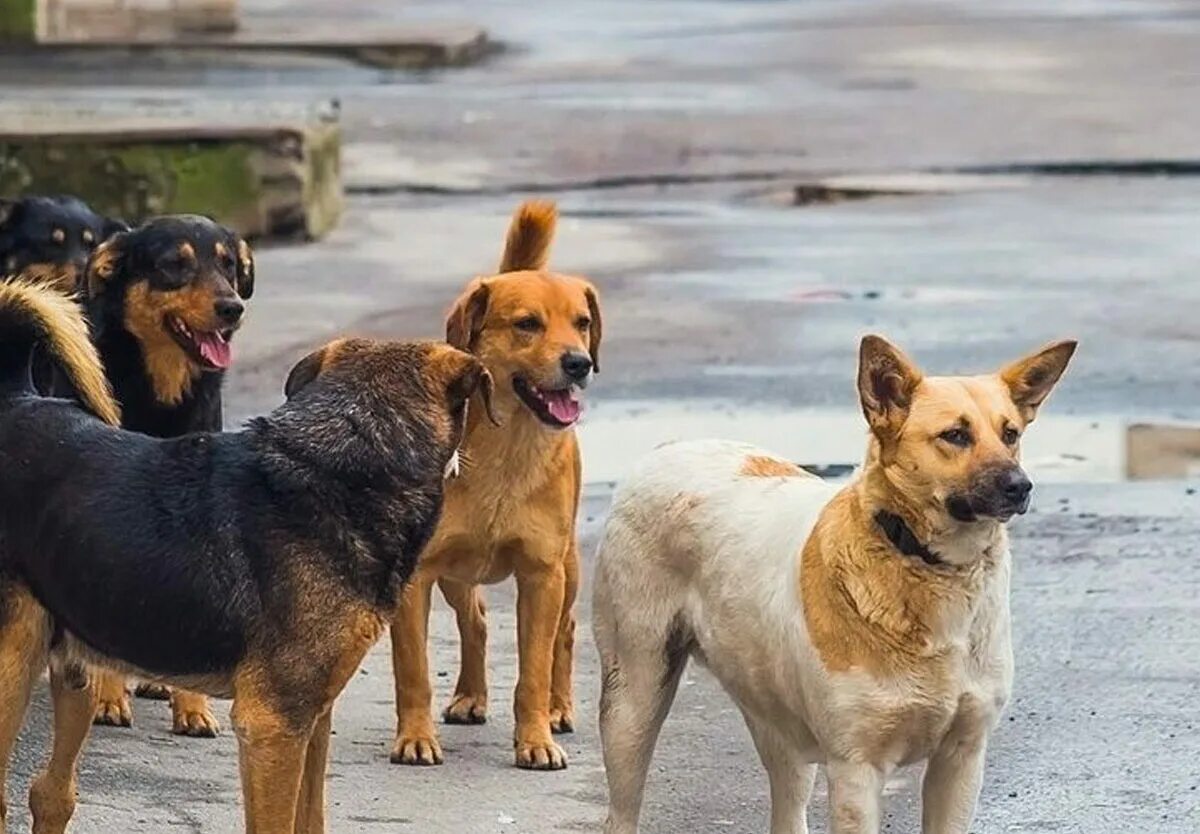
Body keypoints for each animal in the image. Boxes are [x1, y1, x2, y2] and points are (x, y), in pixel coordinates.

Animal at [0, 280, 492, 834]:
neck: (345, 461)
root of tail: (16, 398)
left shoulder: (312, 719)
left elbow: (310, 815)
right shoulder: (272, 726)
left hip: (74, 664)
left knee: (51, 792)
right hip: (11, 666)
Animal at [76, 214, 255, 739]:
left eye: (229, 265)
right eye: (175, 264)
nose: (232, 308)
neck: (161, 393)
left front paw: (192, 708)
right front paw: (108, 699)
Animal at [391, 199, 604, 772]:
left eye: (582, 324)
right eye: (527, 324)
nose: (579, 363)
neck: (506, 450)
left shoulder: (541, 575)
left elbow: (533, 669)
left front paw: (535, 739)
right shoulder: (416, 577)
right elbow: (413, 670)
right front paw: (414, 737)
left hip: (568, 569)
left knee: (564, 633)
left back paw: (558, 708)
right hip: (454, 573)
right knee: (477, 621)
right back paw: (470, 696)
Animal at [595, 333, 1075, 834]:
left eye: (1010, 434)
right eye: (955, 435)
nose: (1020, 486)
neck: (923, 560)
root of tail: (668, 449)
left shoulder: (962, 758)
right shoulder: (855, 770)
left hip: (775, 721)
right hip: (633, 702)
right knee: (621, 807)